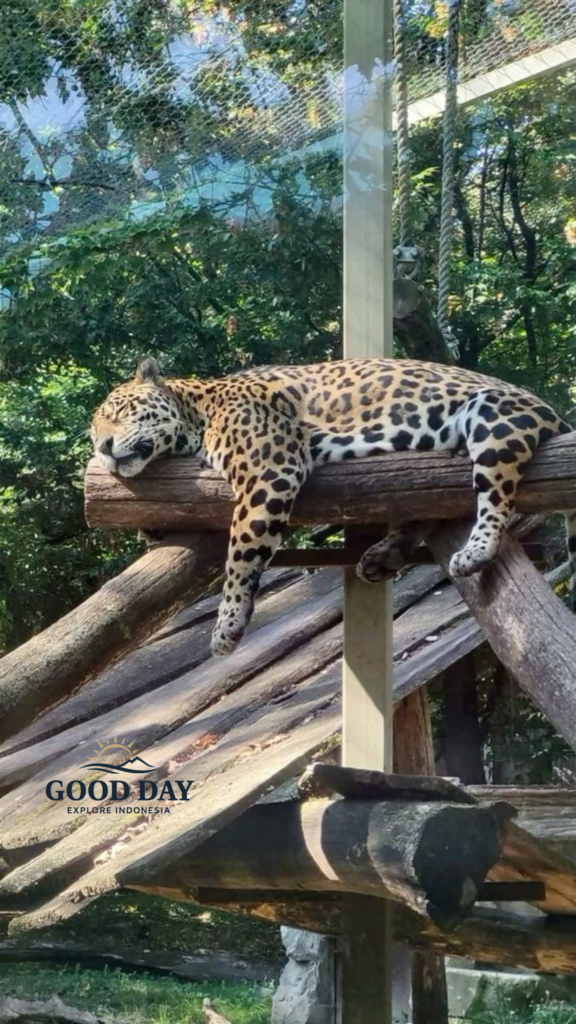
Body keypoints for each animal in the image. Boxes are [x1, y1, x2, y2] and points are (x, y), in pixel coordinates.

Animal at [91, 355, 576, 657]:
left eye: (120, 410)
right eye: (95, 430)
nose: (103, 447)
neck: (199, 410)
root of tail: (558, 416)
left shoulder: (270, 470)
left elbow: (240, 552)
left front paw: (228, 623)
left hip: (494, 416)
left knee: (495, 497)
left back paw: (474, 551)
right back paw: (383, 556)